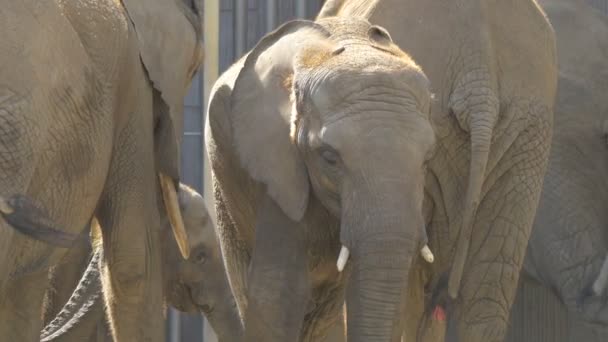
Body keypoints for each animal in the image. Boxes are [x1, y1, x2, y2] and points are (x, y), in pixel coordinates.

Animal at [207, 0, 560, 340]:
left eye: (427, 158)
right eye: (329, 157)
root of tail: (479, 77)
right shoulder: (274, 163)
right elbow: (279, 294)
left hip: (526, 134)